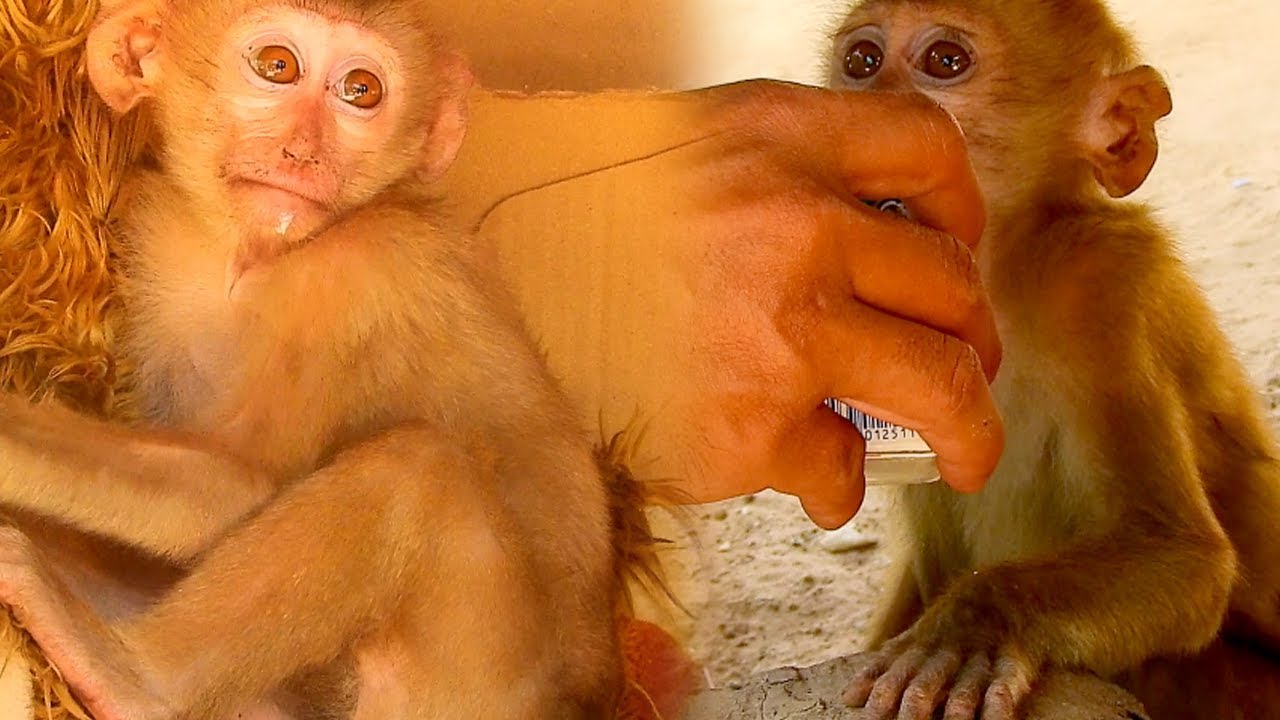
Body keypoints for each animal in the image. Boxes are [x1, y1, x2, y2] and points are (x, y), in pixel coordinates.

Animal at [0, 0, 626, 717]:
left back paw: (129, 679)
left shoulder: (370, 267)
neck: (246, 259)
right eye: (277, 66)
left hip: (465, 680)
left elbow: (230, 489)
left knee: (419, 470)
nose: (302, 154)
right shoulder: (156, 228)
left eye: (361, 90)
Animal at [821, 1, 1280, 718]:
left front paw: (973, 627)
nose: (861, 119)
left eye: (945, 62)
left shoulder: (1104, 281)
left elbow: (1183, 557)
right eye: (862, 62)